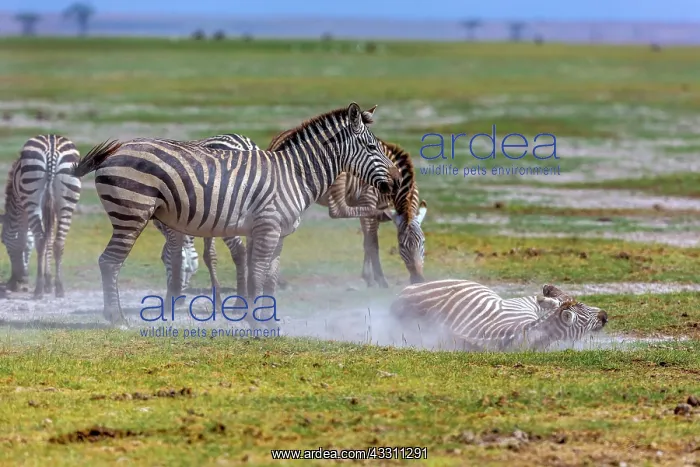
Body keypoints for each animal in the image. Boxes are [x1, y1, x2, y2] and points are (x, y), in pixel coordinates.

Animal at [1, 135, 82, 298]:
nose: (15, 282)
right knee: (58, 241)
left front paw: (43, 282)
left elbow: (30, 239)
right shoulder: (50, 209)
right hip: (67, 199)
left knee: (40, 240)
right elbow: (49, 239)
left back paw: (38, 289)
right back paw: (59, 287)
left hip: (33, 200)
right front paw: (49, 282)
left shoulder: (24, 206)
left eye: (4, 242)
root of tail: (52, 148)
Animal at [69, 103, 400, 325]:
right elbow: (258, 273)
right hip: (131, 214)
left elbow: (270, 277)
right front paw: (254, 318)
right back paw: (117, 319)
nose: (396, 181)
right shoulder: (267, 227)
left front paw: (267, 317)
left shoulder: (276, 233)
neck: (293, 175)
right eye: (372, 147)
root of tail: (115, 152)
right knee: (109, 262)